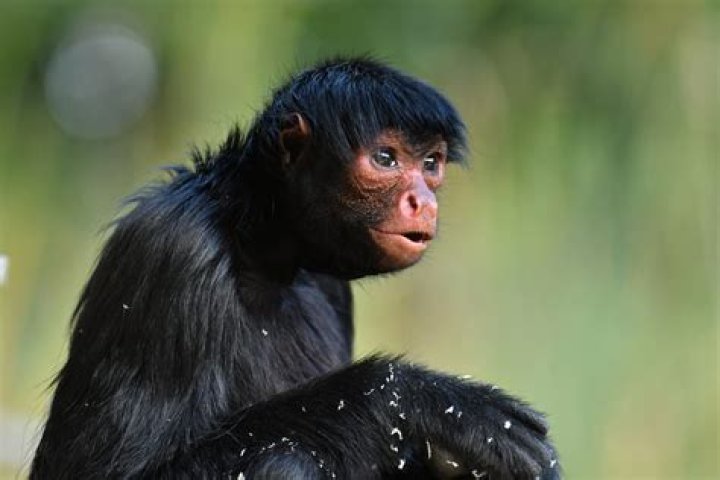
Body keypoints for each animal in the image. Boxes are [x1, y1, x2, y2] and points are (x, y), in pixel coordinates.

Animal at [31, 58, 559, 479]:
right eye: (385, 158)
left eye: (431, 164)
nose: (423, 200)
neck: (255, 244)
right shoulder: (170, 246)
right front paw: (417, 397)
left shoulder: (328, 285)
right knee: (285, 460)